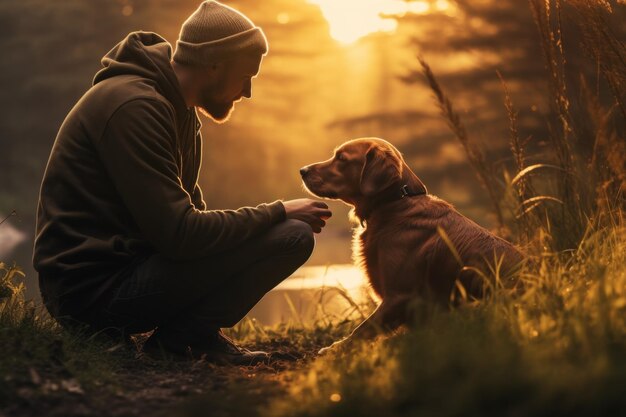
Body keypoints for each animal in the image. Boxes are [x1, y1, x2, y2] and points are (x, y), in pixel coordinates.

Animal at [298, 136, 520, 348]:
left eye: (341, 158)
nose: (302, 170)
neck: (394, 202)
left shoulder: (400, 296)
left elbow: (362, 329)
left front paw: (334, 350)